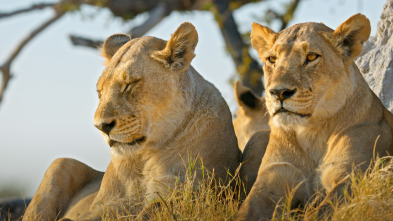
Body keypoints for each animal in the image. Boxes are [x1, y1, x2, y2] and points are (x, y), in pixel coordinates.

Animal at [25, 22, 239, 221]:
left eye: (129, 85)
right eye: (100, 91)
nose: (101, 126)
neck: (145, 157)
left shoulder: (192, 193)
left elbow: (152, 210)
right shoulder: (107, 206)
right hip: (61, 162)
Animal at [234, 13, 392, 219]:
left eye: (311, 57)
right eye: (272, 59)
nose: (278, 93)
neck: (312, 132)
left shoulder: (349, 176)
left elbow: (320, 213)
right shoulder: (272, 178)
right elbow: (245, 211)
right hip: (258, 136)